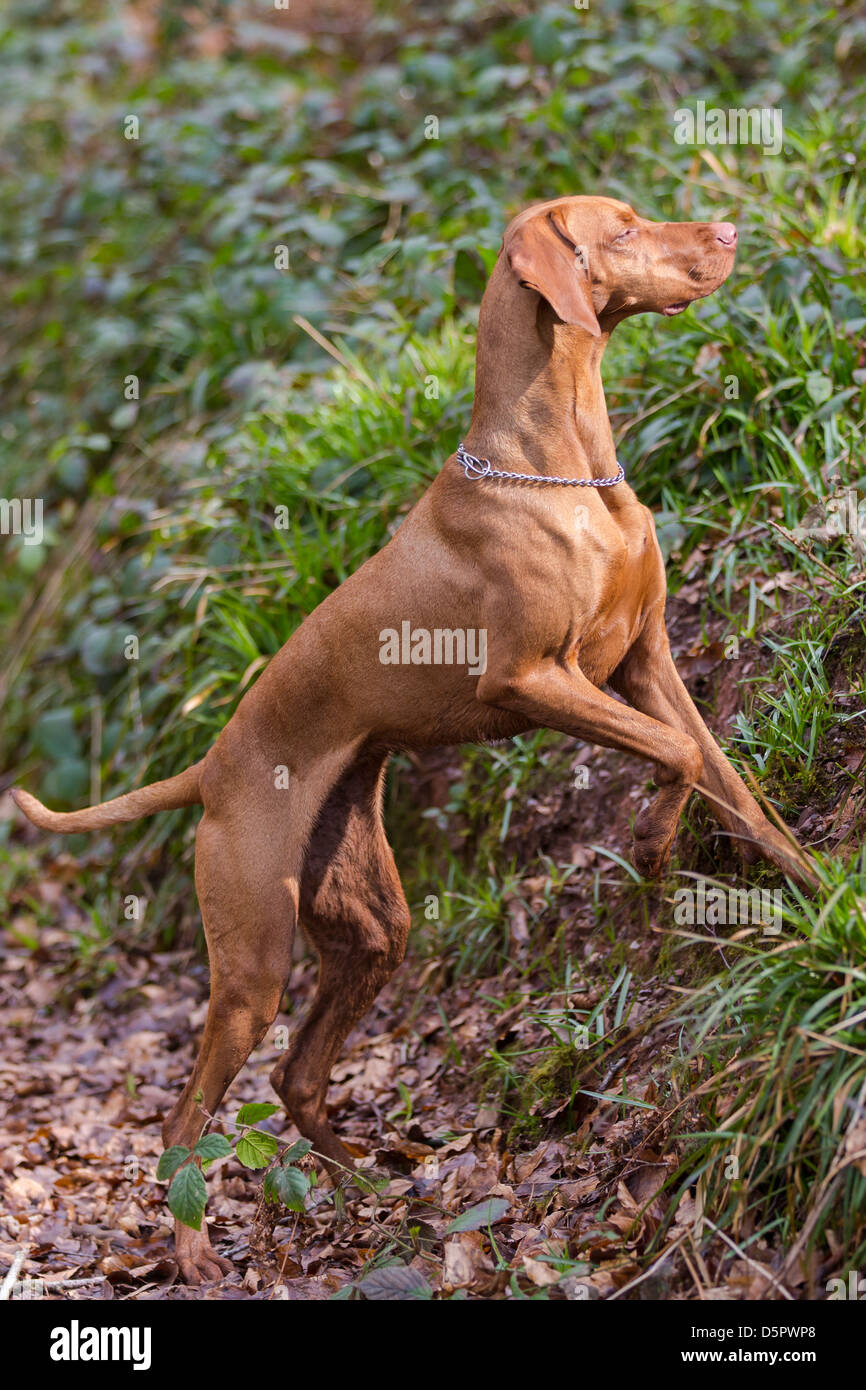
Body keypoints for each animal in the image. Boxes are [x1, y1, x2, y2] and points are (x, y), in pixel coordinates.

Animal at [11, 195, 811, 1278]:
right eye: (624, 227)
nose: (727, 232)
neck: (559, 464)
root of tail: (209, 767)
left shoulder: (642, 658)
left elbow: (731, 779)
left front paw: (813, 885)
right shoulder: (534, 679)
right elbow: (681, 756)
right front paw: (650, 844)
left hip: (369, 923)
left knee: (298, 1077)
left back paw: (369, 1181)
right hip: (252, 959)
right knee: (186, 1118)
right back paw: (193, 1250)